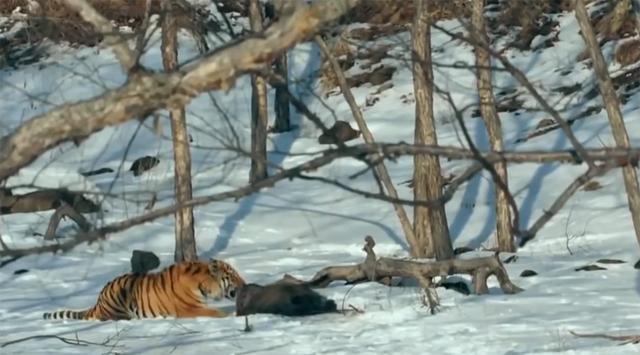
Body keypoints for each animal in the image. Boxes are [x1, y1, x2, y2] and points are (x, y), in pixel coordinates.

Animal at [42, 258, 246, 322]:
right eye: (233, 276)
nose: (245, 284)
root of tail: (98, 301)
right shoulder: (189, 309)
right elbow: (214, 312)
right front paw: (228, 315)